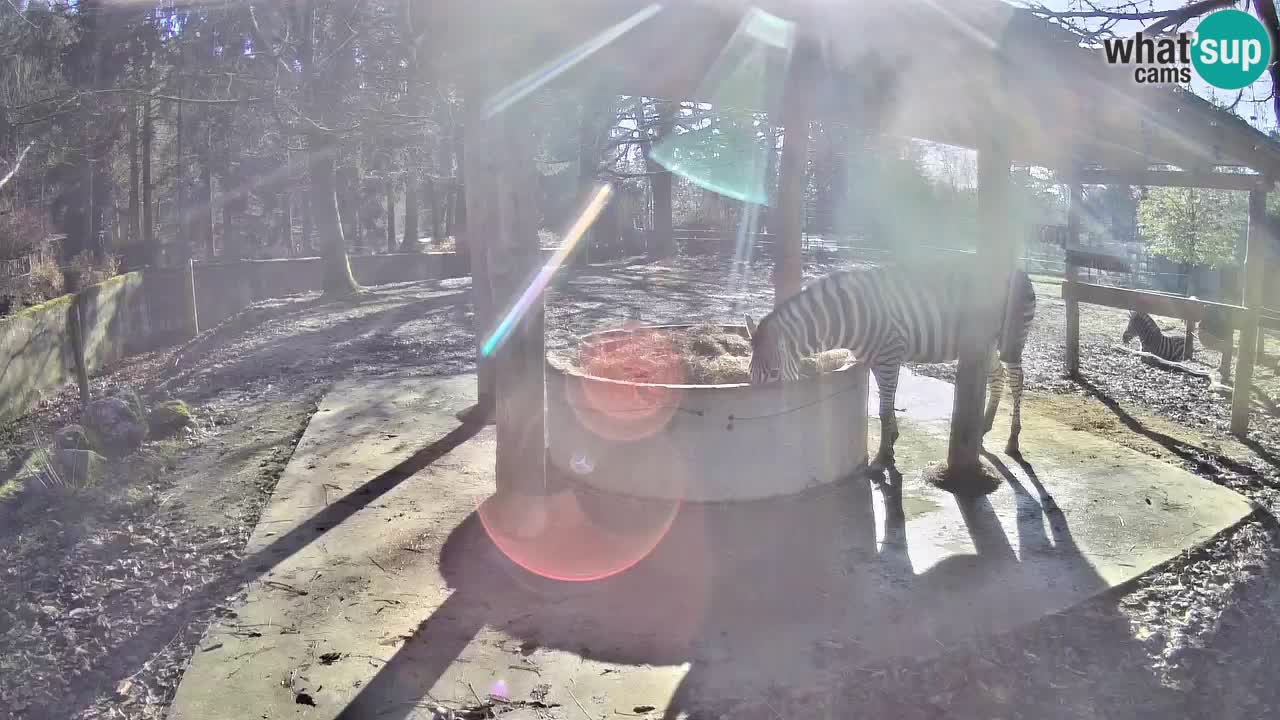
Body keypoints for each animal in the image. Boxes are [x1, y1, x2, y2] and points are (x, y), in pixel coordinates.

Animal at [747, 260, 1034, 468]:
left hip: (1011, 340)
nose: (768, 427)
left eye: (774, 373)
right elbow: (887, 403)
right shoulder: (876, 360)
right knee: (997, 376)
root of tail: (1019, 268)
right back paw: (983, 427)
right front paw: (892, 441)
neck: (848, 316)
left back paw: (1013, 440)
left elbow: (885, 407)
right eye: (750, 375)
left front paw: (882, 457)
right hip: (986, 344)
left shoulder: (889, 354)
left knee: (1017, 381)